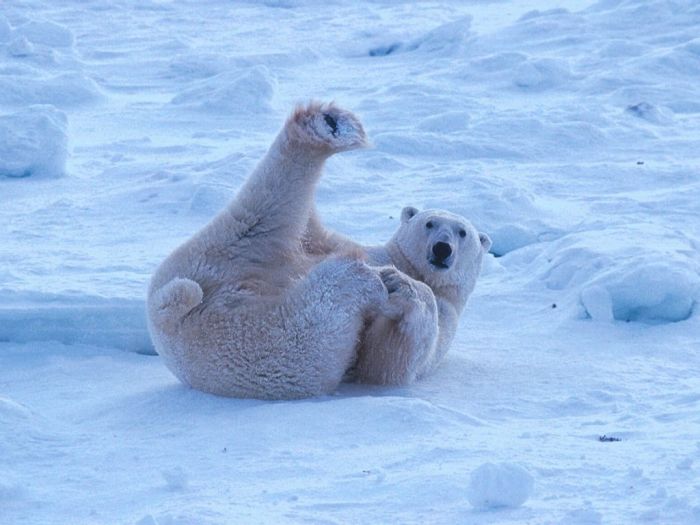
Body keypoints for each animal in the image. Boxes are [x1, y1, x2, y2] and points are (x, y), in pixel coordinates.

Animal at [146, 102, 490, 400]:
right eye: (430, 223)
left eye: (462, 233)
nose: (442, 248)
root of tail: (175, 322)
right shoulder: (339, 243)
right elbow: (312, 233)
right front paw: (394, 279)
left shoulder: (448, 314)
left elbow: (388, 362)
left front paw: (400, 285)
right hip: (213, 256)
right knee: (264, 215)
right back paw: (329, 125)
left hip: (269, 349)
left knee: (310, 317)